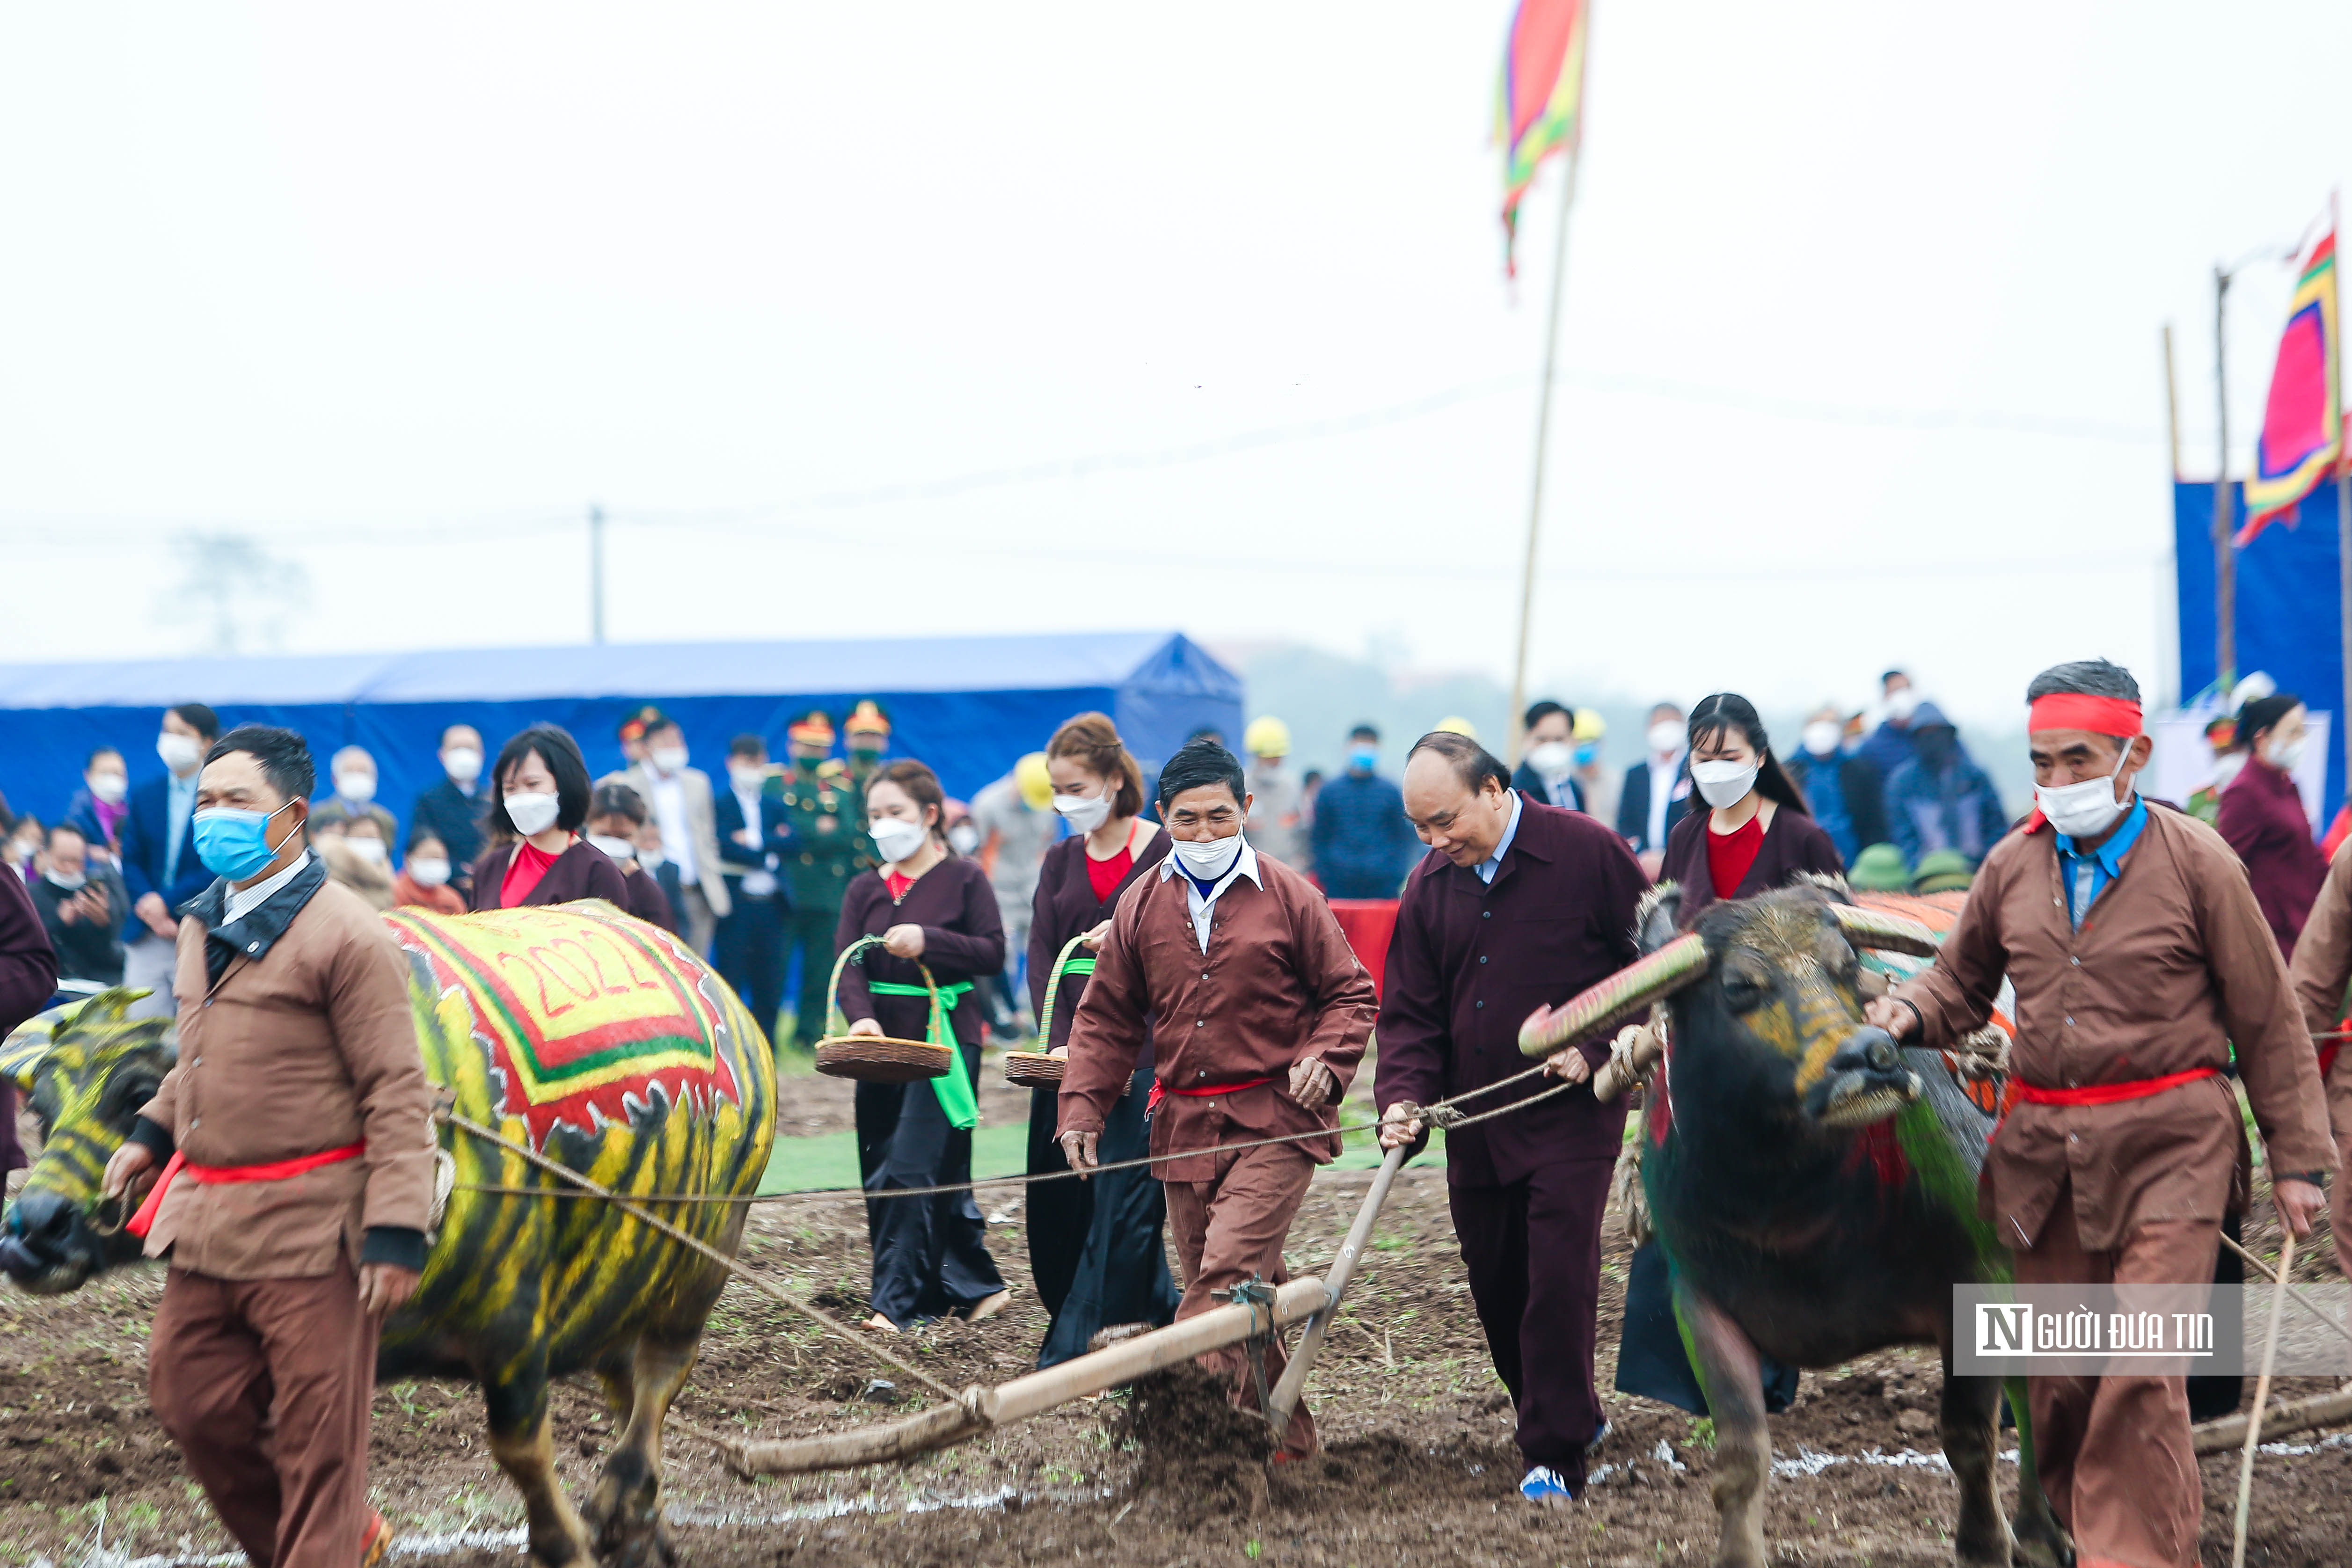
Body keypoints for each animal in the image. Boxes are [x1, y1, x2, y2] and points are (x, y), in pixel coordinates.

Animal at [2, 893, 781, 1568]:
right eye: (40, 1109)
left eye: (136, 1092)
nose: (33, 1229)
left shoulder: (512, 1320)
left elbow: (520, 1446)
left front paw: (565, 1541)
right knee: (626, 1383)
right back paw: (644, 1526)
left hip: (705, 1253)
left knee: (660, 1374)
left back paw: (621, 1500)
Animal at [1524, 889, 2060, 1568]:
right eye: (1738, 986)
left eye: (1846, 964)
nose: (1871, 1059)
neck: (1793, 1209)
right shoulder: (1700, 1306)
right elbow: (1740, 1459)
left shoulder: (1976, 1281)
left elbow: (1969, 1437)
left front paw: (1985, 1545)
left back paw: (2042, 1535)